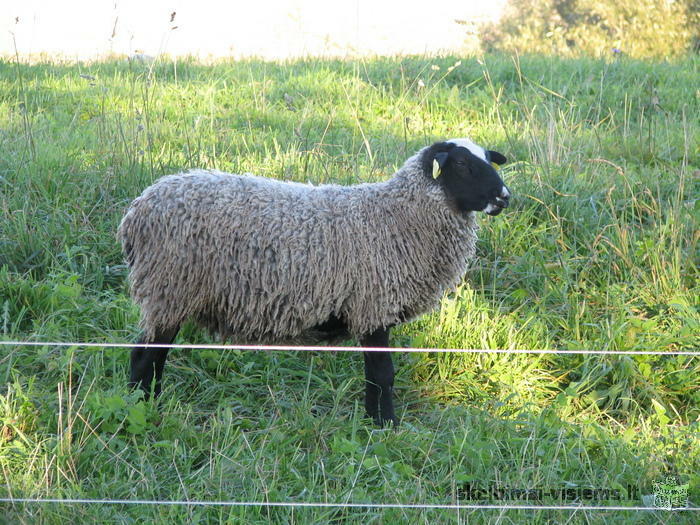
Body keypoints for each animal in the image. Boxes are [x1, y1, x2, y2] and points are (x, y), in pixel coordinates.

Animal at [119, 139, 508, 426]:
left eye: (490, 159)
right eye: (462, 165)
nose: (504, 197)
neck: (398, 216)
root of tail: (137, 211)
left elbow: (375, 375)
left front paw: (374, 423)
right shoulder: (373, 305)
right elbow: (383, 374)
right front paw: (385, 428)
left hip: (167, 292)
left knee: (151, 354)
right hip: (169, 287)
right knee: (145, 356)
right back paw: (142, 408)